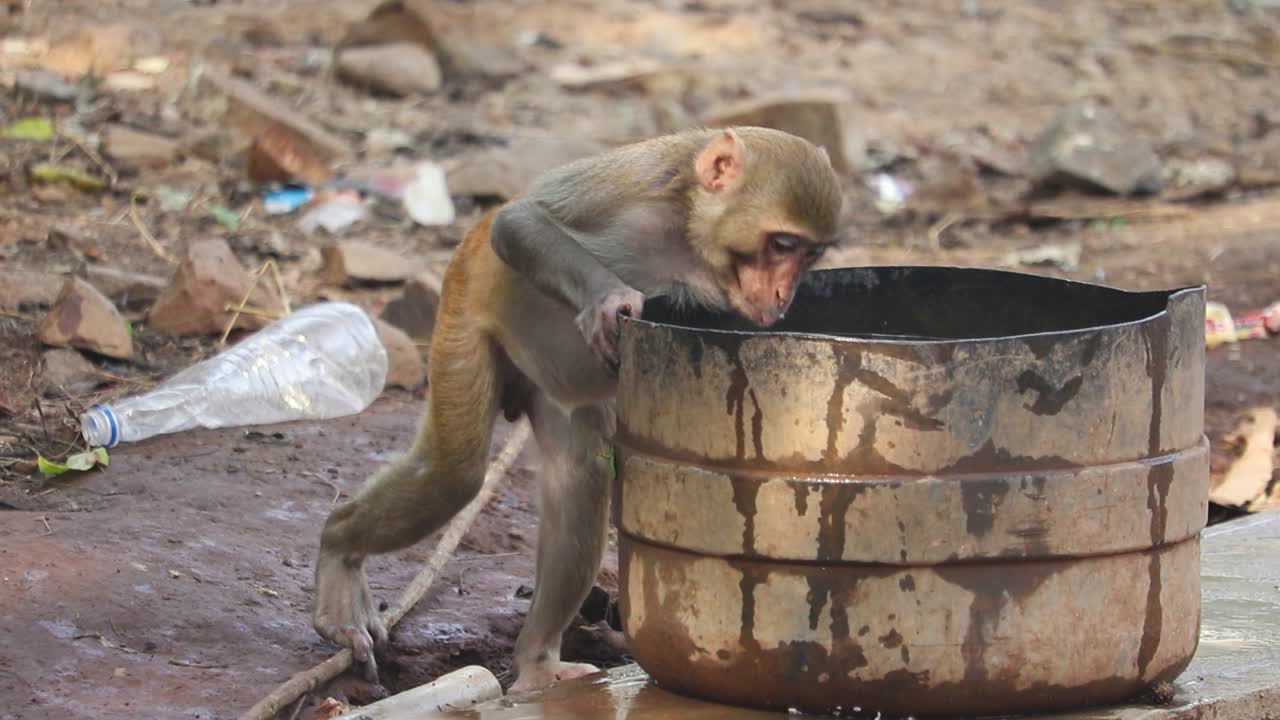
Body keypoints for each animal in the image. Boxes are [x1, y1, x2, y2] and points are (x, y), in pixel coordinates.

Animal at [312, 127, 843, 692]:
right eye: (781, 244)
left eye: (809, 255)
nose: (784, 294)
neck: (690, 241)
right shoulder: (645, 177)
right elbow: (519, 221)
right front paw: (609, 299)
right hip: (463, 306)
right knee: (452, 474)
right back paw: (339, 548)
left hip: (556, 388)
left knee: (577, 476)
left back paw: (536, 663)